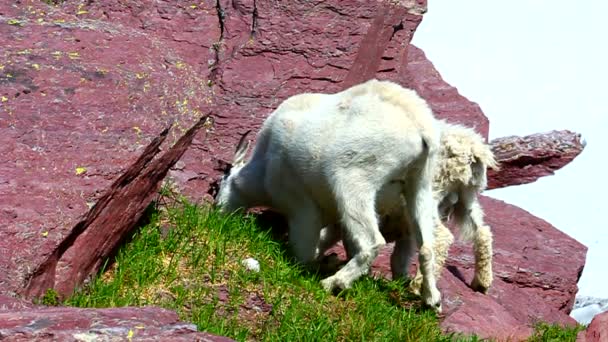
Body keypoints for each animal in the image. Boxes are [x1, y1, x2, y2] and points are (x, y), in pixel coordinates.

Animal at [216, 79, 444, 310]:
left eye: (223, 178)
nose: (217, 212)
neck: (262, 172)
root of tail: (422, 129)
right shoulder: (334, 222)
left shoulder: (301, 206)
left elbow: (305, 253)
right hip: (421, 184)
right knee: (426, 246)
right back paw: (431, 300)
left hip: (354, 177)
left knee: (373, 241)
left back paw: (334, 282)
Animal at [316, 120, 496, 294]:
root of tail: (470, 148)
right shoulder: (404, 227)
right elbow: (399, 258)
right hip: (466, 197)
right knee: (482, 232)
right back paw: (482, 282)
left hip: (430, 192)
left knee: (442, 237)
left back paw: (418, 285)